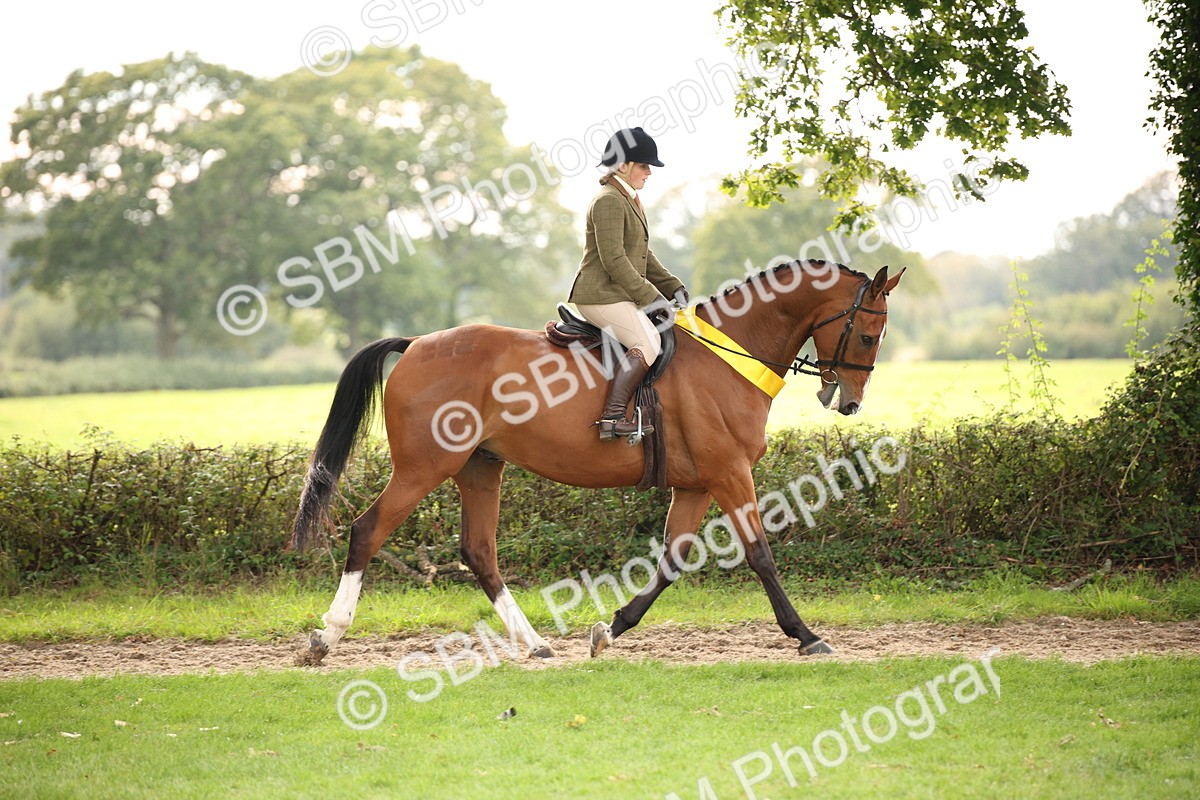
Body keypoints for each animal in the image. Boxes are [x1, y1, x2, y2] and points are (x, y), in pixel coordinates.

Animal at [289, 259, 904, 665]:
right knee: (367, 531)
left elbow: (673, 560)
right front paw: (805, 634)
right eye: (869, 334)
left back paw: (535, 643)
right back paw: (327, 636)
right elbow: (760, 555)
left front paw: (612, 628)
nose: (849, 402)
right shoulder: (731, 475)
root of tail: (417, 343)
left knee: (479, 552)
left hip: (480, 468)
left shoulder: (698, 485)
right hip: (423, 468)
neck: (732, 354)